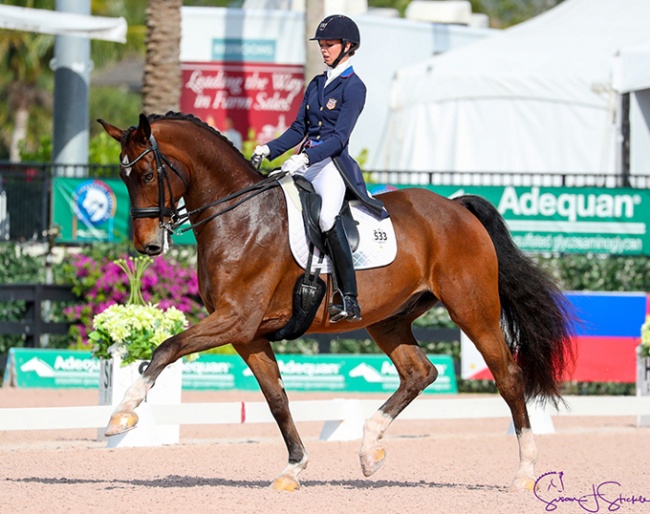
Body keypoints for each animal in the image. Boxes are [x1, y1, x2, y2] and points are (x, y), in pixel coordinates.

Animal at [97, 113, 572, 492]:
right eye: (123, 178)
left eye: (146, 175)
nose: (147, 246)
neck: (240, 217)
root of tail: (457, 208)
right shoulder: (248, 334)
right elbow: (277, 399)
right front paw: (294, 468)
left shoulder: (235, 319)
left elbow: (166, 348)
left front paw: (122, 415)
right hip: (389, 319)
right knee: (420, 372)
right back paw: (369, 450)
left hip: (473, 310)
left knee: (508, 377)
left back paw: (524, 472)